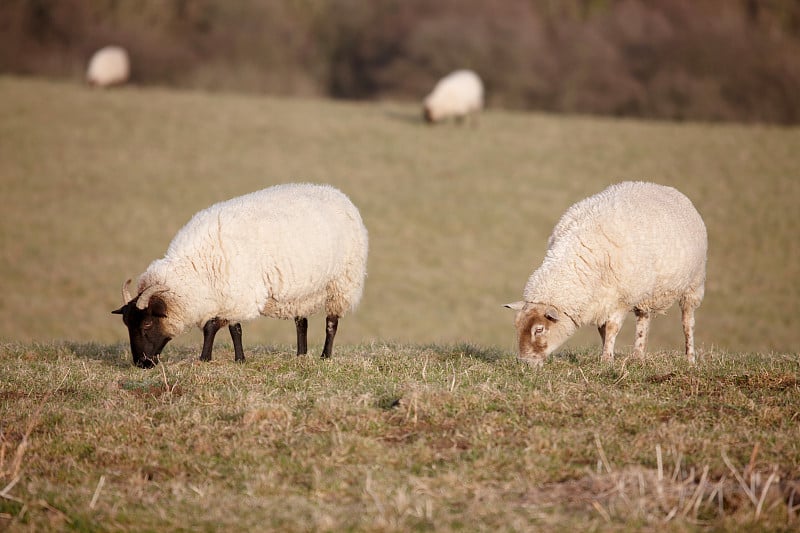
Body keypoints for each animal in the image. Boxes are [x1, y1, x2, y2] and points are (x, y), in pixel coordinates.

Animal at [112, 183, 368, 366]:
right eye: (126, 324)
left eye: (147, 323)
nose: (141, 363)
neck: (196, 269)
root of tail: (337, 193)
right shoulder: (231, 295)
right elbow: (235, 329)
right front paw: (240, 360)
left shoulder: (238, 295)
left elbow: (211, 327)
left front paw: (205, 358)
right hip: (300, 291)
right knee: (301, 323)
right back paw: (301, 355)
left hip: (342, 282)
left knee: (331, 323)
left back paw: (325, 356)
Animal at [506, 181, 708, 364]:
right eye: (517, 326)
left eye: (539, 329)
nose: (524, 362)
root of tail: (670, 190)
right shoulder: (601, 299)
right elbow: (603, 330)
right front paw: (607, 354)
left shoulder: (621, 298)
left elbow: (611, 328)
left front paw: (606, 360)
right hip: (644, 290)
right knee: (644, 320)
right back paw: (638, 357)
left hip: (694, 283)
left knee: (687, 322)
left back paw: (690, 359)